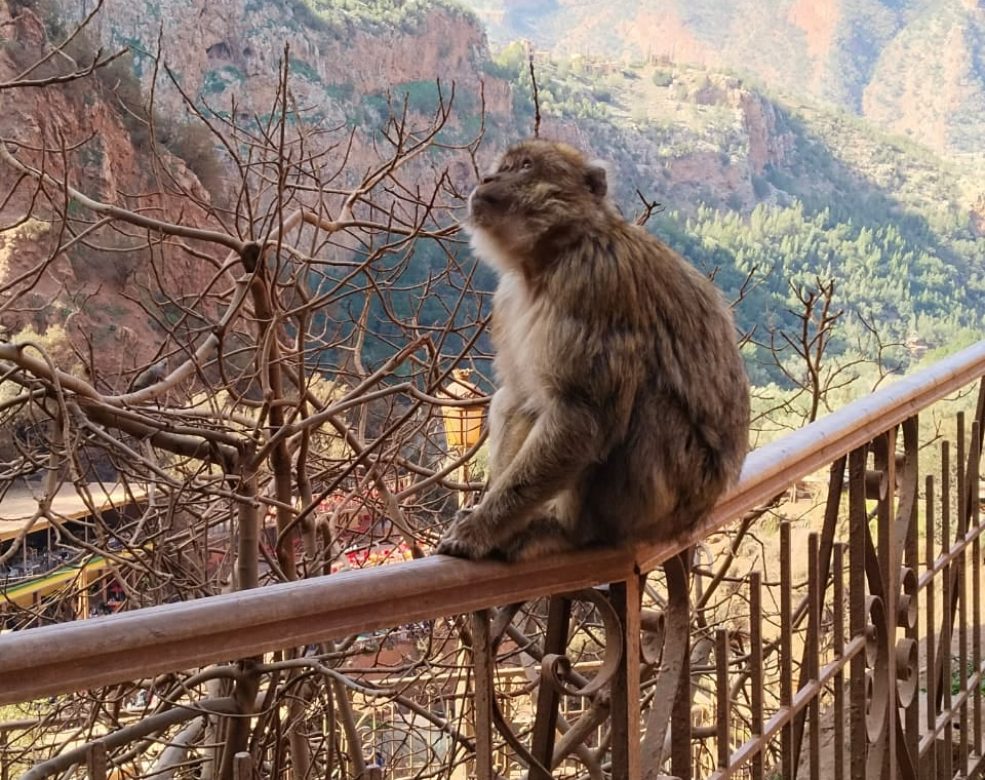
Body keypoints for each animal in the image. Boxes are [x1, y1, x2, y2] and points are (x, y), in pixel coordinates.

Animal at [434, 140, 748, 564]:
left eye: (525, 167)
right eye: (503, 166)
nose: (486, 178)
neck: (549, 258)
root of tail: (697, 515)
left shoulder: (593, 283)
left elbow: (582, 415)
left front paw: (481, 530)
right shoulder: (509, 297)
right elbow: (520, 399)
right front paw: (490, 519)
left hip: (660, 498)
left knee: (644, 403)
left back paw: (568, 531)